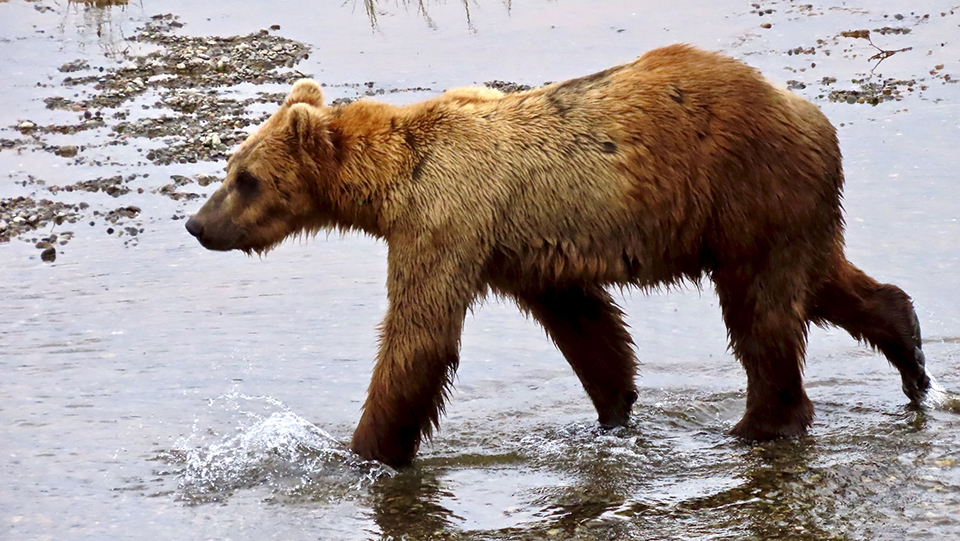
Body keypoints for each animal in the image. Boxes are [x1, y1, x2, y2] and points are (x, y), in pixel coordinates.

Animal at [185, 44, 931, 467]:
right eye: (229, 167)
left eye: (246, 177)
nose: (196, 223)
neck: (393, 180)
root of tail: (809, 113)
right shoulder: (518, 248)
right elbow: (585, 324)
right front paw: (615, 407)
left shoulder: (447, 218)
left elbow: (420, 335)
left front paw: (364, 453)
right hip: (784, 209)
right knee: (824, 281)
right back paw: (910, 354)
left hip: (745, 193)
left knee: (762, 313)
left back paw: (759, 424)